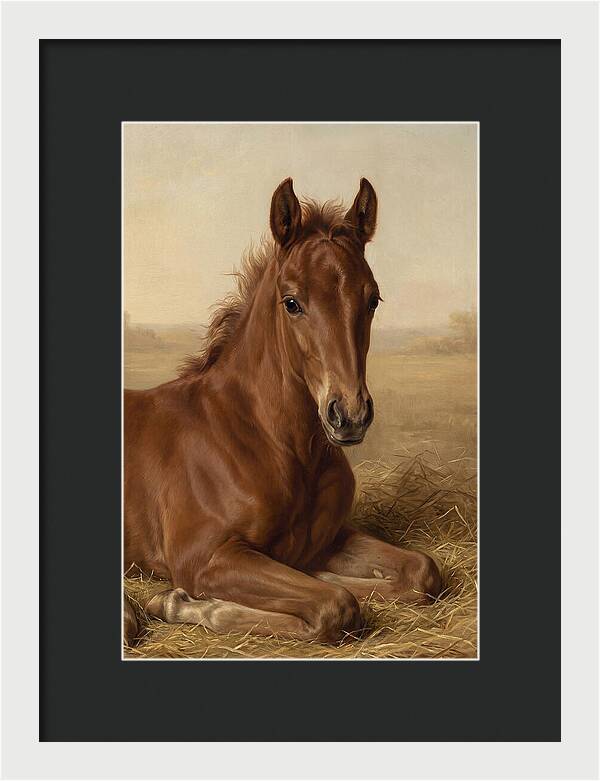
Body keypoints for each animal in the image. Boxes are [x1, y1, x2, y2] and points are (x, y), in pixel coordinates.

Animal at [123, 177, 441, 646]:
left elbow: (421, 572)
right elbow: (336, 605)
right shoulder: (203, 558)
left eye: (373, 299)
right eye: (291, 302)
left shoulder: (327, 539)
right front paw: (178, 602)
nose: (349, 415)